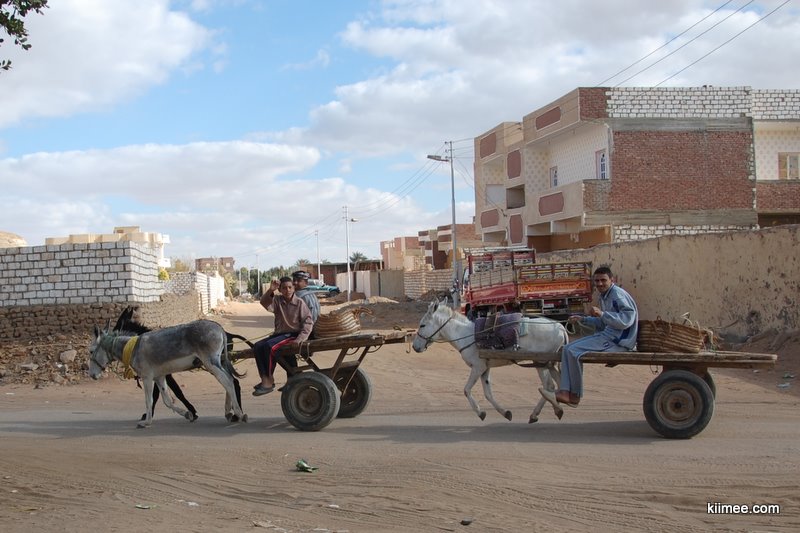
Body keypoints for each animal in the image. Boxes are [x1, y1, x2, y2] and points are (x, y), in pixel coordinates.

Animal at [89, 319, 247, 428]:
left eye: (90, 351)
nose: (91, 375)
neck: (133, 348)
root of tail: (219, 327)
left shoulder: (147, 377)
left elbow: (149, 400)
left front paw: (146, 422)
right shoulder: (159, 377)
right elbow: (167, 401)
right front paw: (187, 414)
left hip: (210, 363)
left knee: (228, 382)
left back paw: (239, 413)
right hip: (217, 361)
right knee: (229, 380)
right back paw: (230, 412)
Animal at [412, 299, 568, 423]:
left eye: (422, 325)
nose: (414, 347)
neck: (466, 335)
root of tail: (560, 327)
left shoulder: (477, 367)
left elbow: (466, 390)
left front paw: (480, 413)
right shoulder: (485, 368)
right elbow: (488, 394)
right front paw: (505, 413)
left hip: (541, 363)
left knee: (548, 386)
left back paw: (539, 413)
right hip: (551, 363)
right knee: (559, 384)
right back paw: (557, 408)